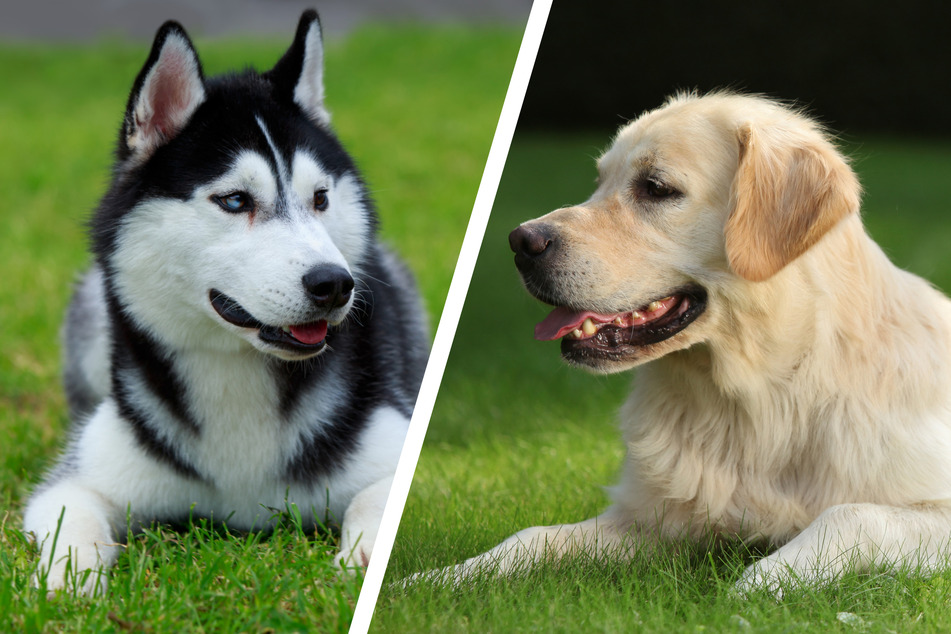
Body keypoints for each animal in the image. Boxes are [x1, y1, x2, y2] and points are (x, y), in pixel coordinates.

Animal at [444, 91, 951, 592]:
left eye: (656, 187)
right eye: (600, 181)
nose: (521, 243)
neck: (758, 401)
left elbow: (850, 514)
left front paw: (762, 581)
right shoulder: (649, 522)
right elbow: (532, 536)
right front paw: (446, 577)